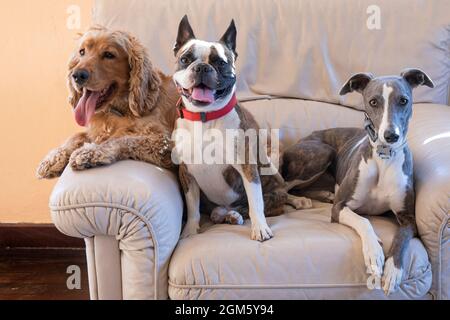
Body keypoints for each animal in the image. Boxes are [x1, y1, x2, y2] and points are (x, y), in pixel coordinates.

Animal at [37, 26, 178, 180]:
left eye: (109, 55)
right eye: (82, 52)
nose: (77, 75)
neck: (117, 110)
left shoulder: (163, 142)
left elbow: (123, 139)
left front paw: (90, 152)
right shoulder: (95, 131)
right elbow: (77, 135)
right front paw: (53, 158)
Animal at [171, 15, 312, 240]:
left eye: (221, 62)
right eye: (185, 59)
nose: (201, 67)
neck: (205, 118)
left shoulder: (247, 166)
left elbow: (255, 202)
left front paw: (260, 228)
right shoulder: (187, 172)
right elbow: (192, 207)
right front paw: (190, 231)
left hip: (272, 179)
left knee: (274, 198)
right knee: (219, 210)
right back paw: (228, 214)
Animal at [284, 69, 434, 294]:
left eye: (403, 100)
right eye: (373, 102)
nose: (391, 136)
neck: (383, 158)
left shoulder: (408, 217)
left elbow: (402, 237)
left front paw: (393, 270)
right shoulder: (340, 208)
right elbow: (363, 220)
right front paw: (374, 254)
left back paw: (322, 194)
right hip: (322, 152)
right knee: (283, 186)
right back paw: (297, 200)